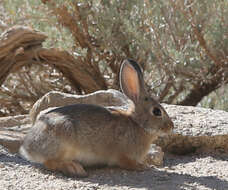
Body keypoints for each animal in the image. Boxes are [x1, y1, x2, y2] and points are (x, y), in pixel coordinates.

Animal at [19, 59, 174, 177]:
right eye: (157, 111)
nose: (171, 127)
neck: (137, 124)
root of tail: (27, 148)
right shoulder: (123, 154)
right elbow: (127, 163)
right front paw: (143, 167)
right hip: (63, 139)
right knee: (50, 162)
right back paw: (74, 168)